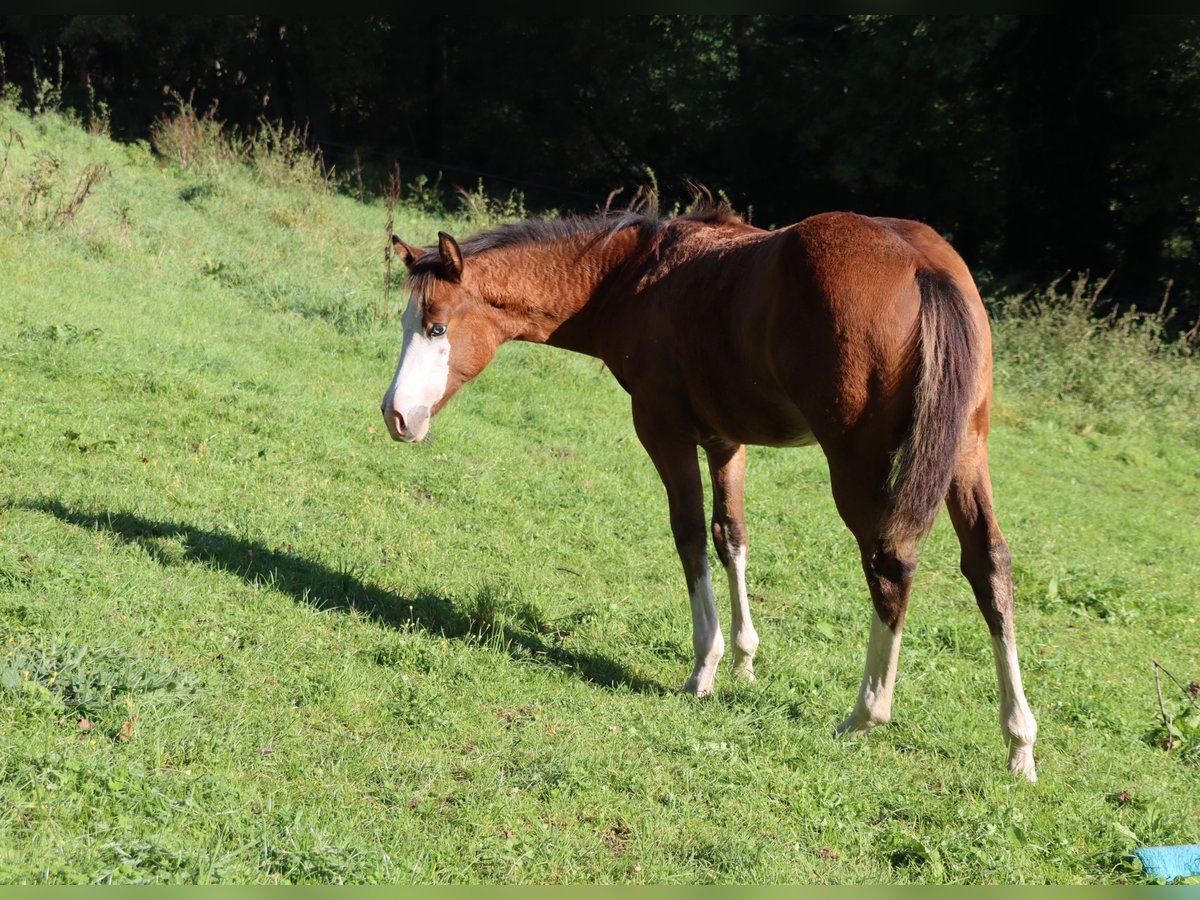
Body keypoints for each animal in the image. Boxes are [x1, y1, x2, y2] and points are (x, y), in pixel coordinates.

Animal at [380, 200, 1038, 781]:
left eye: (437, 326)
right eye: (409, 323)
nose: (396, 415)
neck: (635, 276)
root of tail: (924, 266)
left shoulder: (664, 431)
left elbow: (691, 536)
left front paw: (706, 667)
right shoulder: (726, 440)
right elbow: (731, 538)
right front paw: (745, 658)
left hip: (858, 461)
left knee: (889, 562)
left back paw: (864, 714)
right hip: (965, 452)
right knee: (989, 566)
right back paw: (1019, 743)